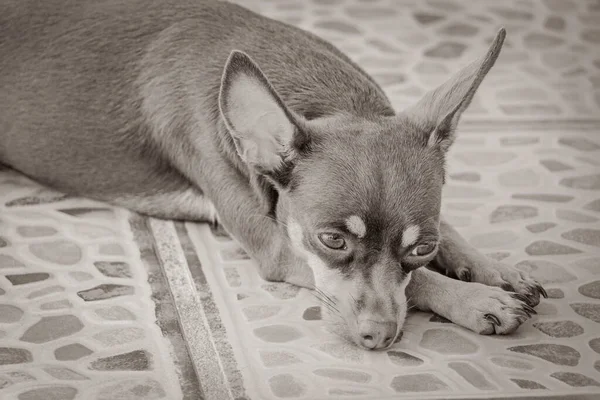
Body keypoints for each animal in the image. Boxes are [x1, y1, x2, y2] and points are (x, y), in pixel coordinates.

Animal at [0, 0, 548, 350]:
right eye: (331, 241)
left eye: (422, 248)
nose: (378, 338)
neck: (327, 101)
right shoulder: (280, 249)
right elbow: (416, 287)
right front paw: (474, 298)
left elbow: (446, 237)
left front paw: (490, 268)